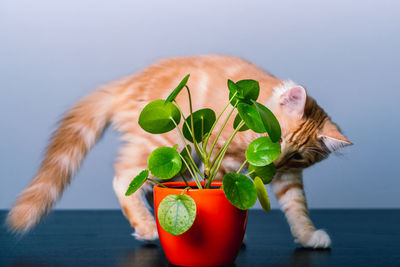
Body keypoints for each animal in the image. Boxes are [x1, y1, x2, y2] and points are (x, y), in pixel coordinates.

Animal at [6, 54, 350, 249]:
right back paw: (147, 227)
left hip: (180, 155)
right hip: (169, 140)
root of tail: (126, 84)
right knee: (124, 178)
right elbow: (226, 190)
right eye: (273, 139)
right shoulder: (223, 158)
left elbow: (297, 208)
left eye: (297, 156)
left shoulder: (285, 176)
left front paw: (307, 237)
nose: (274, 161)